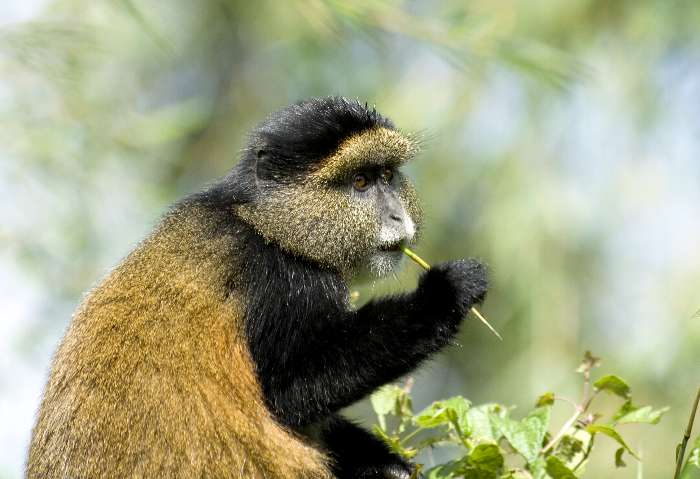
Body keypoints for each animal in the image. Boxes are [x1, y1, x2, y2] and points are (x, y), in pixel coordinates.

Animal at [27, 97, 488, 479]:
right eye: (360, 181)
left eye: (387, 176)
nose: (396, 216)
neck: (263, 222)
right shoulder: (285, 284)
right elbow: (290, 391)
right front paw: (444, 294)